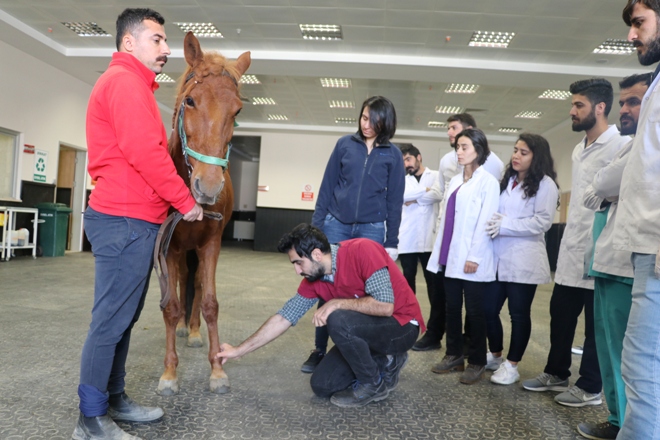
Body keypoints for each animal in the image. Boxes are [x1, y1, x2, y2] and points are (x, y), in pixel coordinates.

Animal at [157, 31, 253, 396]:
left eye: (237, 110)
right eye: (190, 101)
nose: (208, 186)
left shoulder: (210, 244)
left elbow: (210, 301)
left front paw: (217, 369)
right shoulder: (169, 247)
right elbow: (171, 307)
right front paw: (169, 373)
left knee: (195, 283)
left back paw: (195, 331)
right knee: (183, 281)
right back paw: (186, 328)